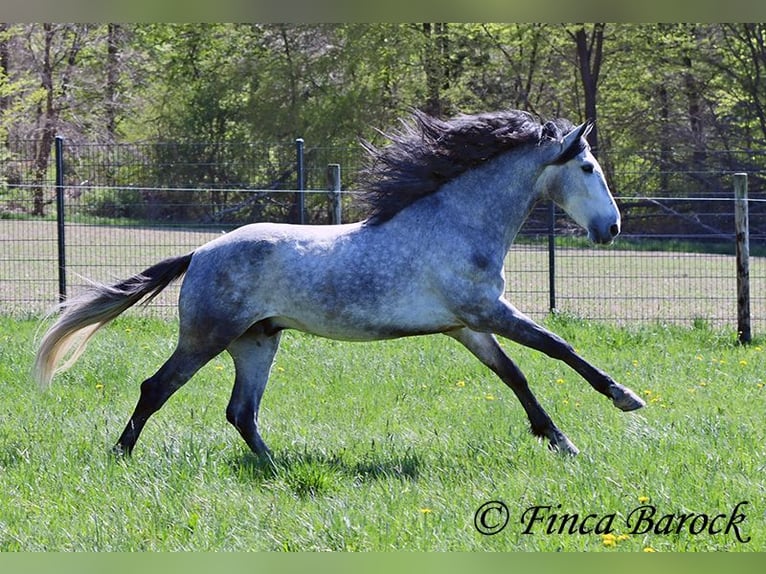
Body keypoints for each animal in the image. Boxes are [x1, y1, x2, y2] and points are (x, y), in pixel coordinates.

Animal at [33, 109, 645, 459]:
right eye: (588, 168)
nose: (612, 228)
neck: (454, 223)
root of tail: (202, 252)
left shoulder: (467, 326)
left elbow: (516, 376)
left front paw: (562, 442)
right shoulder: (486, 312)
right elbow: (558, 348)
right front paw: (624, 398)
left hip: (256, 342)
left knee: (241, 412)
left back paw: (276, 468)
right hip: (205, 338)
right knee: (155, 389)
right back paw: (121, 456)